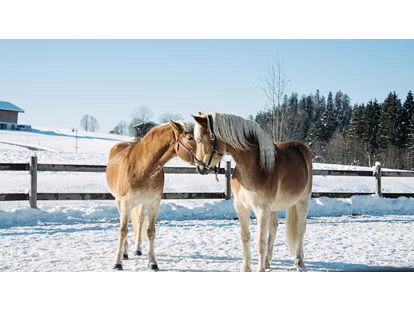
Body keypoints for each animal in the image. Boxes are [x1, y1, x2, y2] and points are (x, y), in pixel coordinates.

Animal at [106, 119, 197, 270]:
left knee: (140, 220)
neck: (142, 166)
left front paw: (152, 262)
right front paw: (117, 263)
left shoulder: (154, 204)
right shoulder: (126, 203)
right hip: (119, 201)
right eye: (190, 138)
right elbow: (123, 230)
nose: (211, 161)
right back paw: (125, 252)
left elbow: (150, 231)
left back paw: (137, 249)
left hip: (143, 203)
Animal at [192, 112, 312, 272]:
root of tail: (301, 148)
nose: (199, 168)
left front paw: (259, 269)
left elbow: (260, 243)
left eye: (200, 140)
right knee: (273, 227)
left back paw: (299, 259)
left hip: (302, 201)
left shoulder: (262, 209)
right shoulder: (241, 207)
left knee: (300, 228)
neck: (254, 167)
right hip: (273, 207)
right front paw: (246, 267)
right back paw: (267, 261)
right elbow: (245, 237)